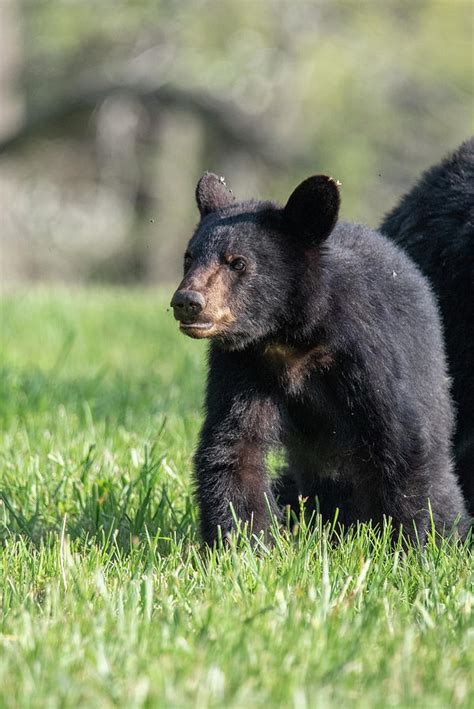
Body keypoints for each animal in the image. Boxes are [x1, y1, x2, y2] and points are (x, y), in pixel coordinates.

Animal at [171, 171, 470, 544]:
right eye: (189, 257)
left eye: (237, 262)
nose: (187, 301)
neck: (293, 336)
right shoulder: (243, 364)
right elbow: (235, 446)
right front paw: (245, 542)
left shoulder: (368, 353)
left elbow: (399, 445)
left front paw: (410, 544)